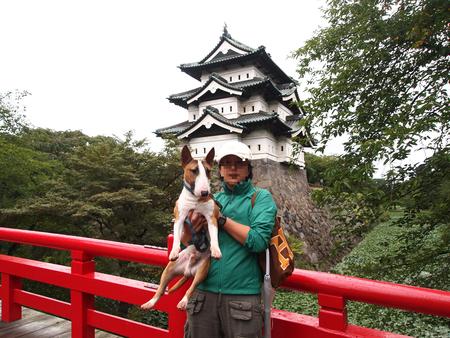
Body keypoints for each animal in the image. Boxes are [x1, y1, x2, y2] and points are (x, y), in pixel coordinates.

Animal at [140, 147, 219, 310]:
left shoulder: (211, 218)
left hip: (203, 270)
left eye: (208, 171)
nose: (205, 193)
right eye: (194, 171)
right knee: (161, 289)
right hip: (170, 268)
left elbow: (214, 236)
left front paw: (216, 250)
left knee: (191, 288)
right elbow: (176, 235)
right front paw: (174, 250)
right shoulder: (180, 217)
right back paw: (150, 303)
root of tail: (188, 271)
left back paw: (183, 301)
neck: (196, 200)